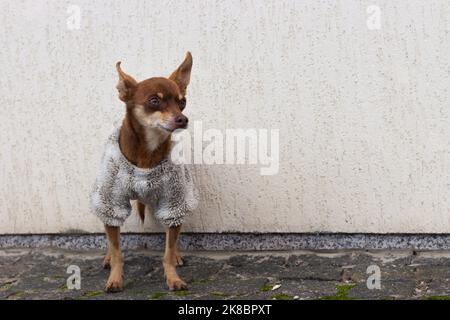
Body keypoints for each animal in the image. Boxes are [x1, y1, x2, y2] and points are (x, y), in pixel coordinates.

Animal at [98, 53, 193, 292]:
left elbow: (168, 249)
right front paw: (115, 278)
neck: (147, 152)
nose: (182, 119)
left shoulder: (173, 203)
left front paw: (173, 277)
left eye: (182, 102)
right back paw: (107, 257)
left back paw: (177, 254)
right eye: (154, 101)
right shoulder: (112, 203)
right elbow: (117, 250)